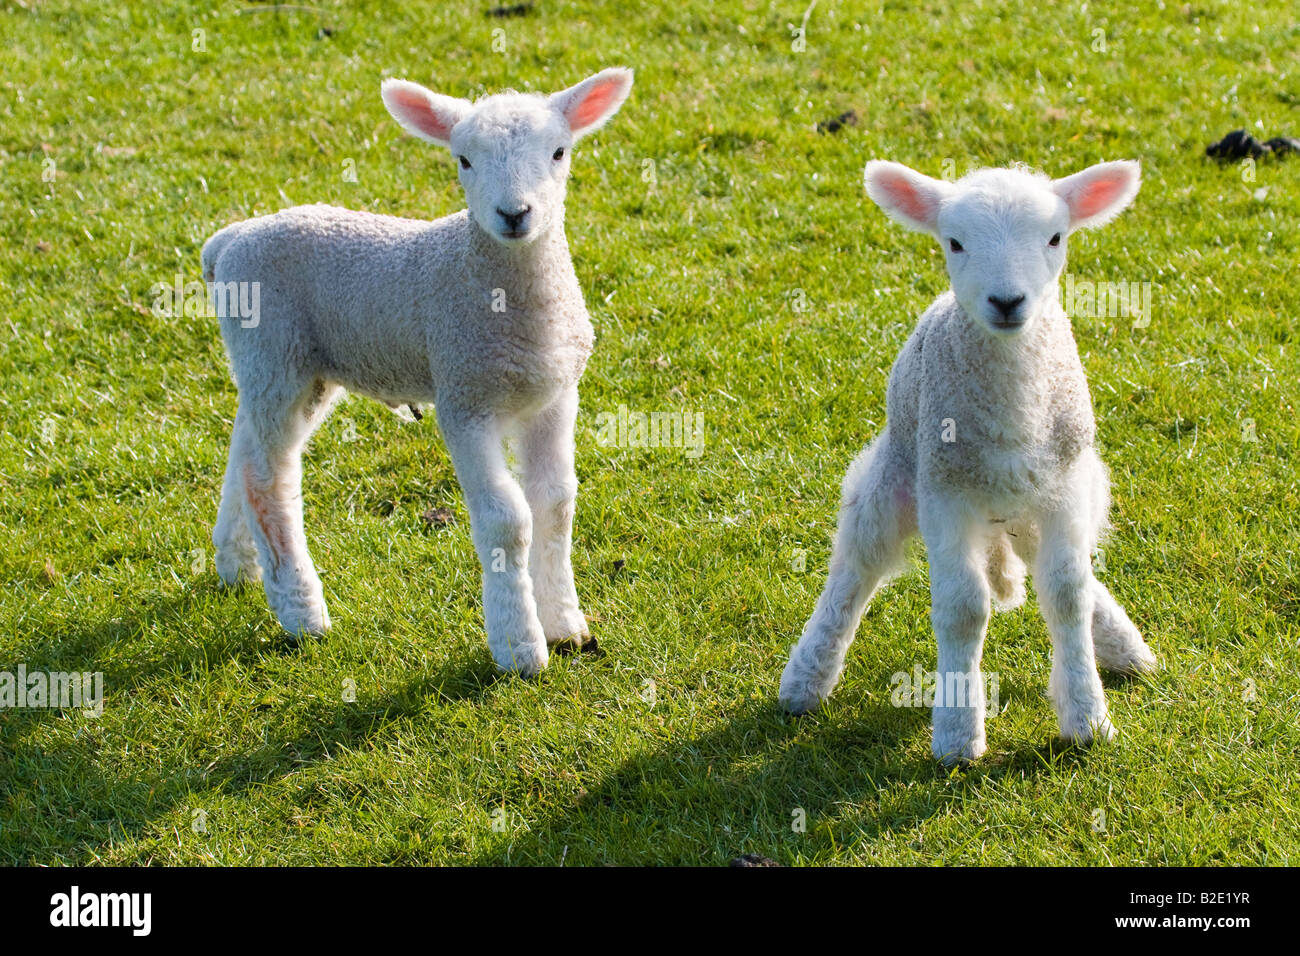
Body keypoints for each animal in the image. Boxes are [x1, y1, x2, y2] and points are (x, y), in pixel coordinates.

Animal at [202, 67, 634, 676]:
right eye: (464, 160)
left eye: (558, 151)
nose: (514, 215)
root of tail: (230, 241)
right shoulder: (463, 398)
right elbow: (508, 520)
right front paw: (520, 647)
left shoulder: (553, 395)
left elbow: (555, 504)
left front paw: (567, 627)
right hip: (277, 351)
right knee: (269, 478)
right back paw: (301, 610)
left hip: (284, 366)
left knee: (244, 449)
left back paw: (237, 564)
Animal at [779, 159, 1158, 764]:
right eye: (954, 242)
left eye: (1056, 238)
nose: (1006, 301)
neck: (1012, 407)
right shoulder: (945, 492)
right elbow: (963, 608)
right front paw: (958, 733)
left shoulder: (1064, 488)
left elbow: (1068, 594)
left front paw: (1087, 716)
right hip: (894, 478)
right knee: (854, 569)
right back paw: (805, 679)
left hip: (1035, 500)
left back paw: (1123, 646)